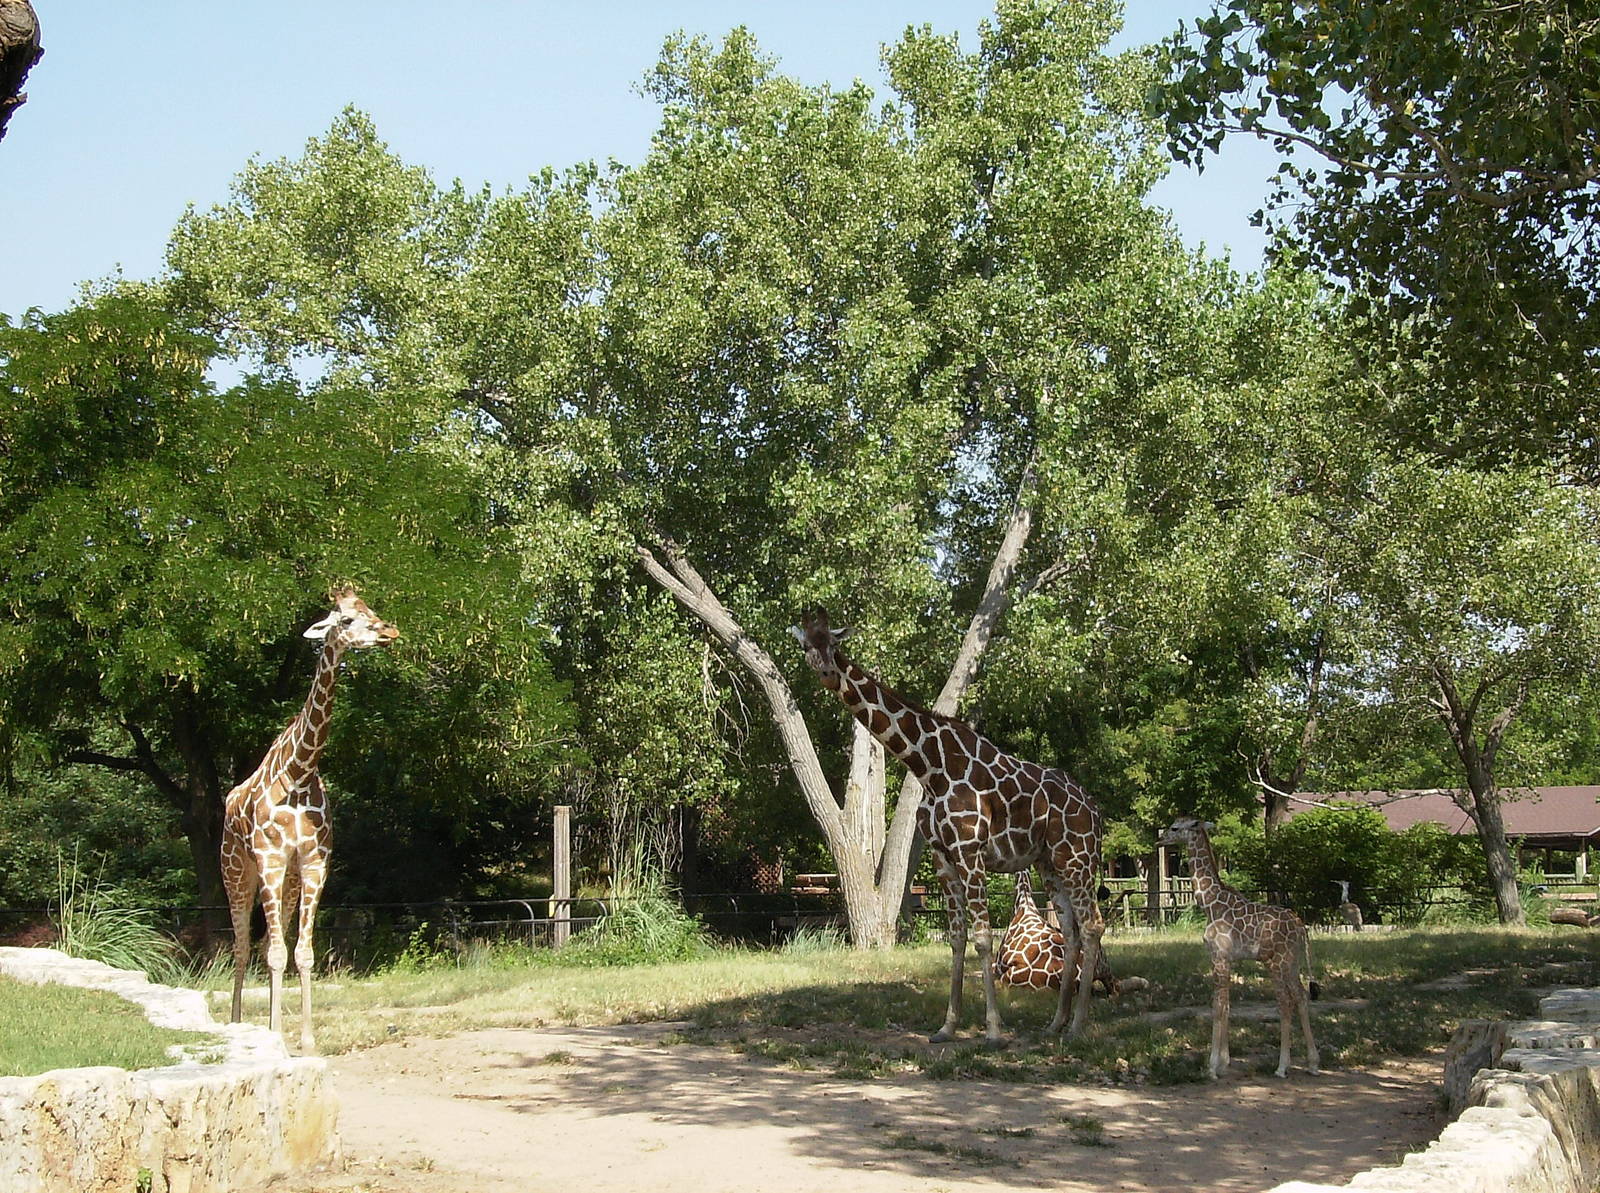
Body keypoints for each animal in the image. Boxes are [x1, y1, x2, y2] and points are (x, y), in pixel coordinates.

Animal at [221, 589, 399, 1052]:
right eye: (347, 619)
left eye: (372, 610)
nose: (389, 631)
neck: (299, 772)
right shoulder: (269, 860)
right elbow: (275, 953)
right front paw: (279, 1040)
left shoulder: (314, 864)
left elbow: (300, 953)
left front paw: (304, 1040)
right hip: (237, 872)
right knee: (243, 947)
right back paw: (236, 1025)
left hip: (287, 882)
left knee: (267, 943)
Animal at [793, 609, 1104, 1043]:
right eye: (807, 643)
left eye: (834, 643)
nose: (825, 671)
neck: (928, 766)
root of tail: (1094, 808)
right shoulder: (942, 855)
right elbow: (957, 937)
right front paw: (948, 1026)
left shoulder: (970, 851)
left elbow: (983, 938)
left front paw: (993, 1030)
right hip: (1049, 862)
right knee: (1072, 929)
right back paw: (1056, 1023)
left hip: (1076, 856)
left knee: (1093, 924)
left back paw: (1078, 1025)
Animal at [1157, 816, 1319, 1079]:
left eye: (1175, 827)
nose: (1159, 840)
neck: (1210, 904)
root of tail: (1301, 927)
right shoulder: (1228, 960)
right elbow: (1227, 1005)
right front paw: (1224, 1062)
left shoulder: (1219, 957)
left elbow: (1218, 1006)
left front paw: (1212, 1066)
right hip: (1293, 962)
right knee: (1301, 996)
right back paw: (1313, 1063)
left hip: (1277, 962)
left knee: (1285, 1002)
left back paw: (1282, 1067)